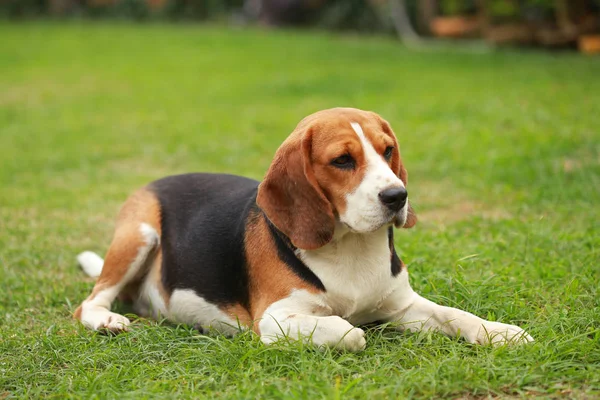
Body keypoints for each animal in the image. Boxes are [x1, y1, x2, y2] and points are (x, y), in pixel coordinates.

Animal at [76, 108, 536, 348]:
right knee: (90, 302)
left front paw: (501, 332)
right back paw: (107, 320)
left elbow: (455, 315)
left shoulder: (404, 305)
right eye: (343, 161)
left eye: (388, 151)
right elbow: (351, 332)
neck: (350, 248)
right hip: (140, 233)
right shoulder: (275, 319)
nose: (397, 196)